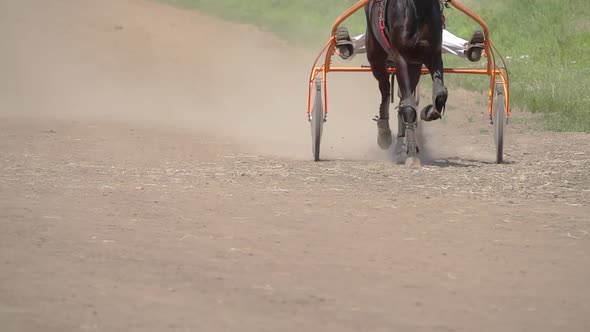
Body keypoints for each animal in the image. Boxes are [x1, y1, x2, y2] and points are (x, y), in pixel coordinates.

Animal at [366, 0, 448, 166]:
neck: (419, 10)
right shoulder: (401, 58)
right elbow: (409, 107)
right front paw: (411, 154)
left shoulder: (432, 54)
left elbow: (440, 94)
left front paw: (428, 112)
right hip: (375, 57)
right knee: (385, 90)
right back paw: (384, 134)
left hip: (414, 66)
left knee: (402, 100)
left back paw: (399, 148)